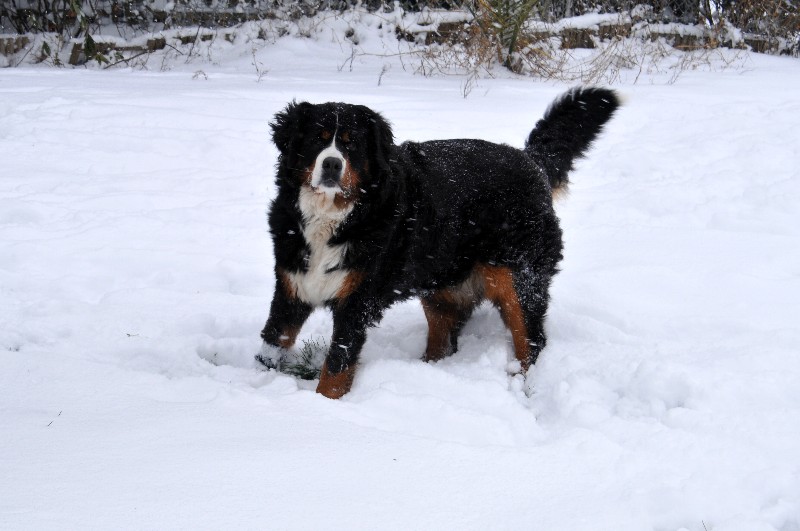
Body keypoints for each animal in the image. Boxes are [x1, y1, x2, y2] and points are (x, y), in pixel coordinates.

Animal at [255, 87, 620, 400]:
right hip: (441, 286)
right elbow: (274, 341)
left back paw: (522, 386)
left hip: (519, 281)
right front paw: (259, 387)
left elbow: (336, 368)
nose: (332, 164)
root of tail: (531, 161)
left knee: (530, 341)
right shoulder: (292, 285)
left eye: (351, 145)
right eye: (316, 140)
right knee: (443, 339)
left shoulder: (357, 301)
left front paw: (323, 406)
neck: (333, 218)